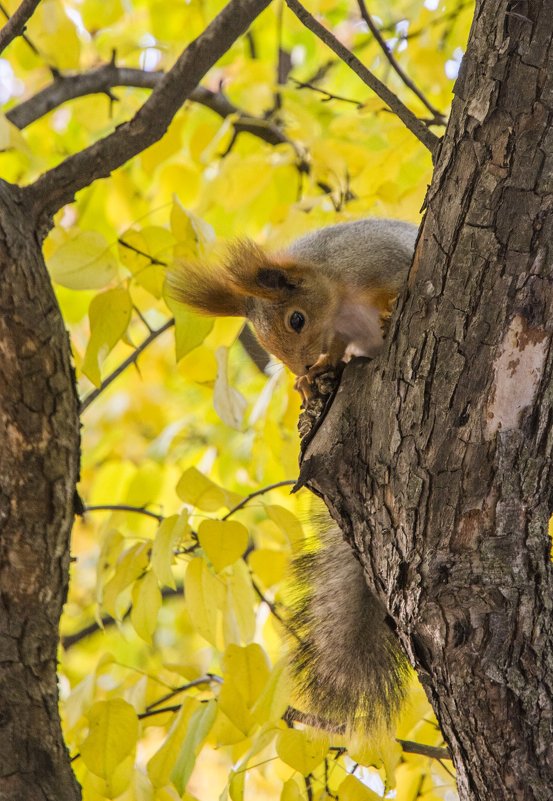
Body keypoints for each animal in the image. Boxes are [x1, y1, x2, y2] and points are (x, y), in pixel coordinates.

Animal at [166, 217, 416, 732]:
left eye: (296, 320)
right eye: (263, 344)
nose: (298, 366)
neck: (338, 290)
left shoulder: (379, 258)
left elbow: (399, 281)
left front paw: (386, 314)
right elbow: (337, 351)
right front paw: (315, 376)